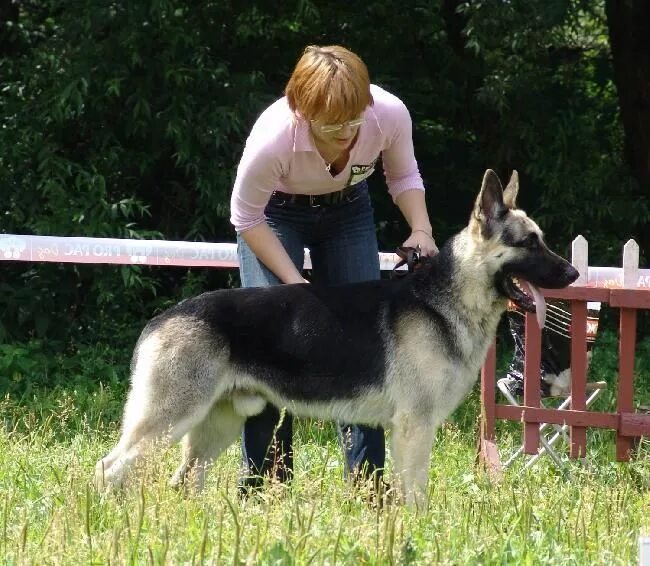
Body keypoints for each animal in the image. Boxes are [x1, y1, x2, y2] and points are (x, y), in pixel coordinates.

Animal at [93, 171, 576, 508]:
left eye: (544, 241)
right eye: (529, 243)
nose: (572, 274)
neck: (447, 299)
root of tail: (161, 319)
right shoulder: (414, 428)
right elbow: (415, 493)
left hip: (217, 424)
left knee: (183, 477)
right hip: (171, 419)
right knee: (109, 468)